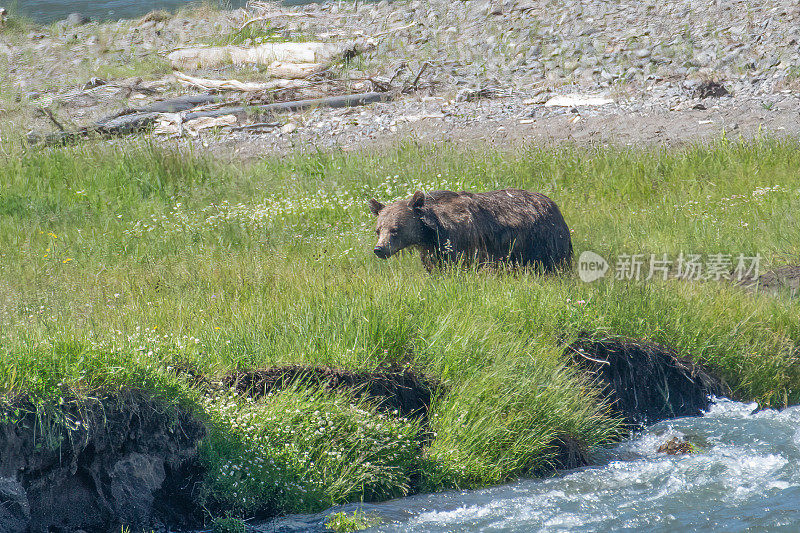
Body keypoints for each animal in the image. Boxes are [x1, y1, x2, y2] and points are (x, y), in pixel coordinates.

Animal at [368, 188, 576, 272]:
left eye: (395, 229)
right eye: (378, 230)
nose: (379, 249)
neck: (429, 233)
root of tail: (553, 205)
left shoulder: (462, 242)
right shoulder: (433, 252)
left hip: (544, 240)